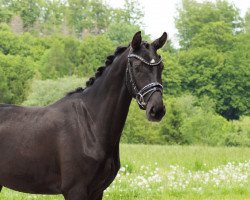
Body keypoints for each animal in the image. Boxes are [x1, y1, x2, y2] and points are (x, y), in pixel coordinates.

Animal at [0, 31, 168, 198]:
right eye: (137, 67)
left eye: (161, 67)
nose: (157, 109)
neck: (89, 125)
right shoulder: (75, 190)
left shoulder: (98, 191)